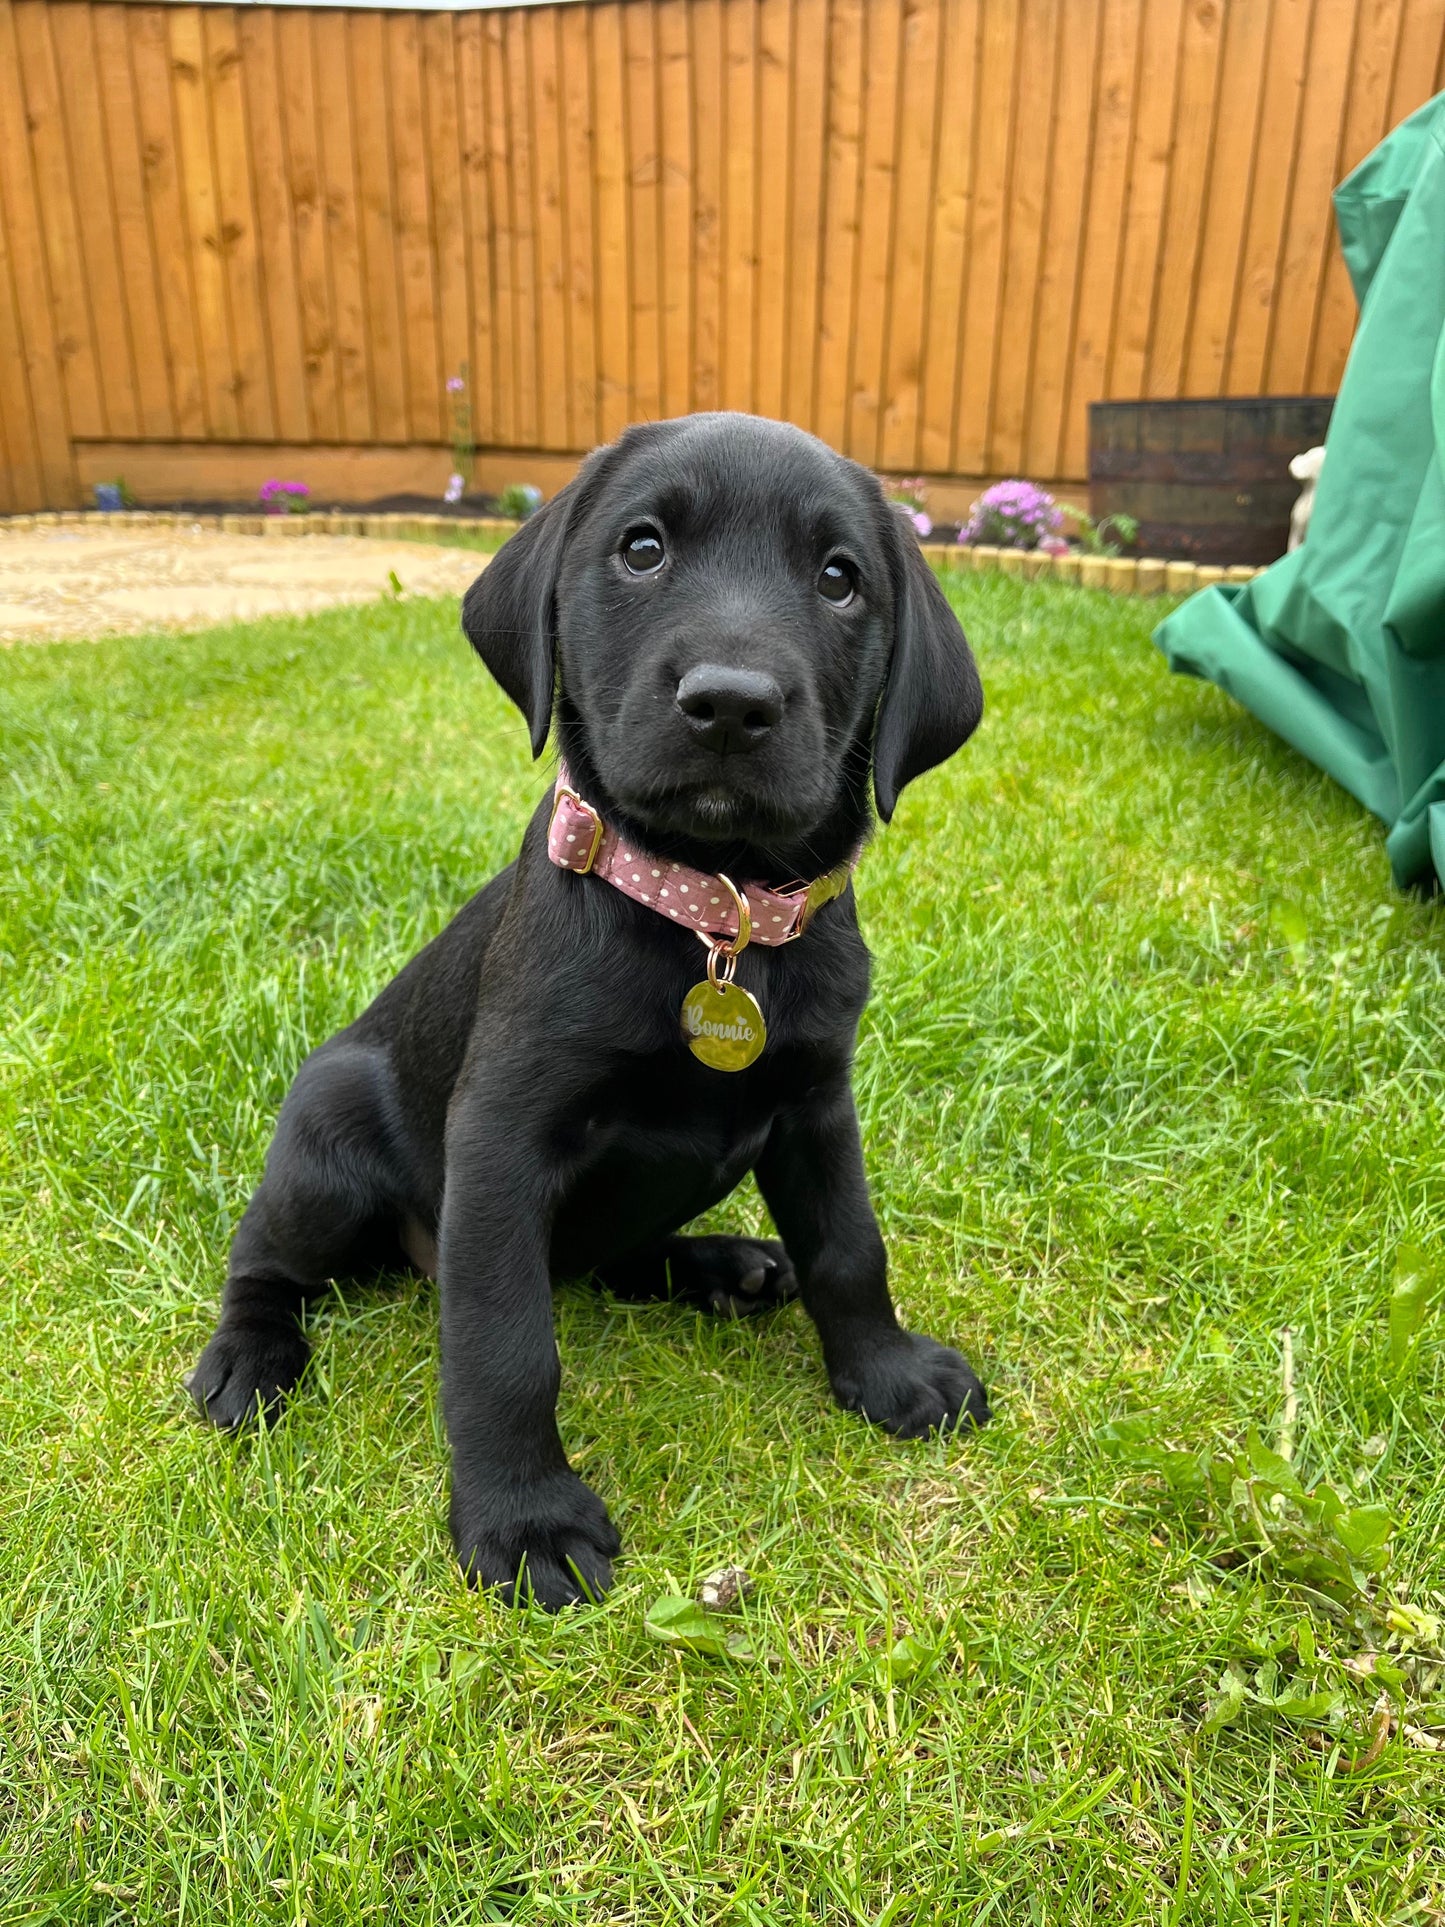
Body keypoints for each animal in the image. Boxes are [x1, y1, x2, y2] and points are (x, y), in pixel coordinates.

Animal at [186, 414, 994, 1603]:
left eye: (839, 578)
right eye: (642, 548)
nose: (730, 703)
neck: (713, 919)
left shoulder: (816, 1107)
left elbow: (851, 1247)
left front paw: (887, 1371)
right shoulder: (500, 1138)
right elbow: (506, 1344)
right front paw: (523, 1517)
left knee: (612, 1258)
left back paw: (723, 1264)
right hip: (325, 1149)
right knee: (266, 1260)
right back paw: (250, 1351)